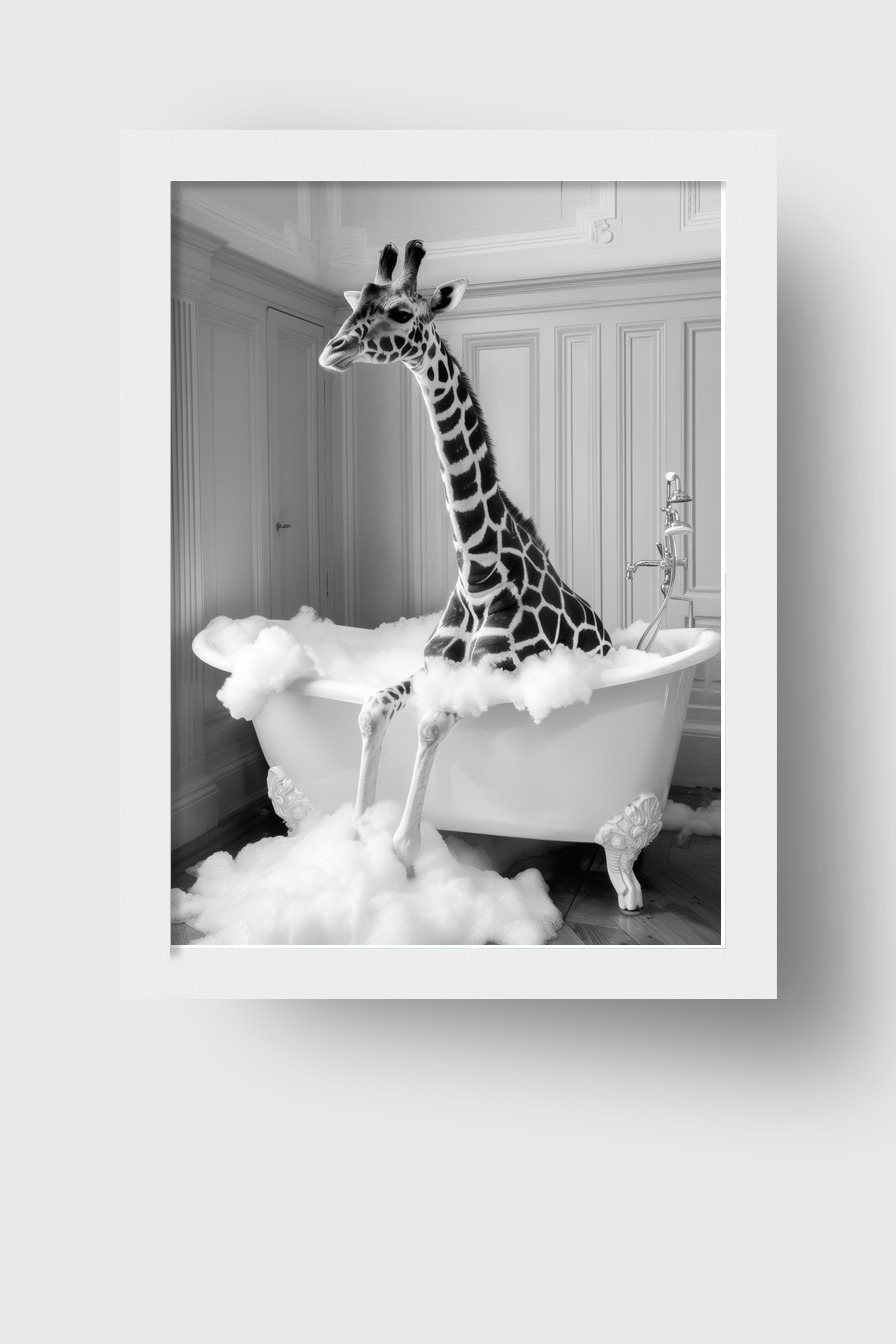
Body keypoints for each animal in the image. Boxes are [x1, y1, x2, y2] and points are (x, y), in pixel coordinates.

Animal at [319, 240, 614, 874]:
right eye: (358, 305)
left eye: (402, 312)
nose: (333, 349)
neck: (480, 567)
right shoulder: (435, 668)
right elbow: (372, 707)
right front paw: (356, 830)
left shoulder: (492, 673)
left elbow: (430, 726)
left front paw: (402, 852)